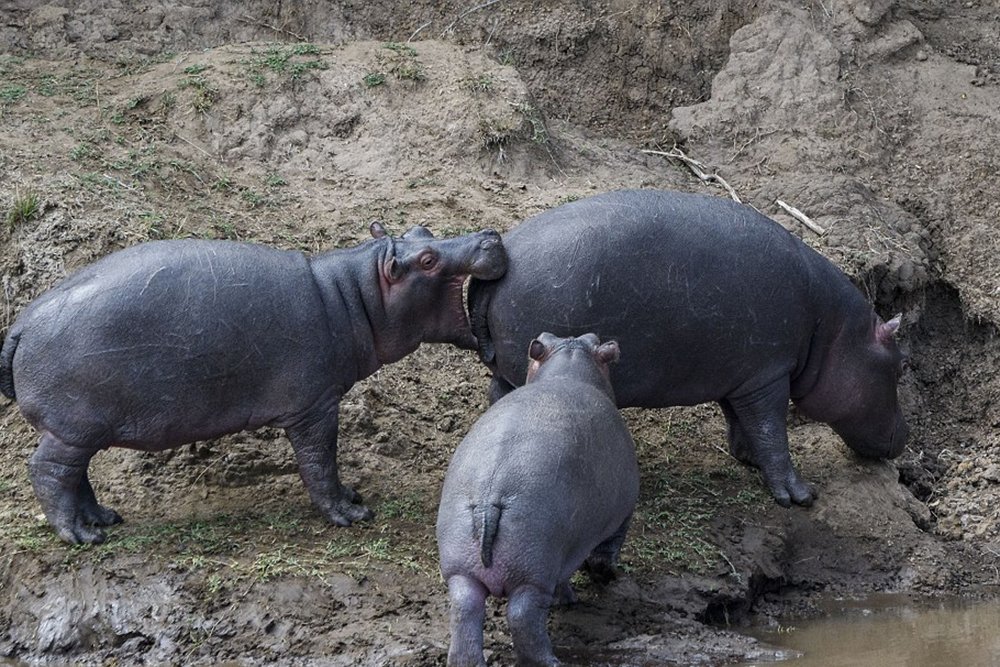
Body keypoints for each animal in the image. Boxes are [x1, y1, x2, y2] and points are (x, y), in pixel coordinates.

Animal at [0, 223, 507, 544]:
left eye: (423, 230)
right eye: (427, 258)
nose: (489, 234)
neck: (355, 295)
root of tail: (21, 323)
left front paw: (352, 497)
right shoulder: (315, 405)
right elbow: (320, 461)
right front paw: (350, 513)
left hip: (79, 430)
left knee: (75, 474)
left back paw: (103, 519)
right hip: (73, 426)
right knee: (47, 470)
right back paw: (81, 536)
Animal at [437, 332, 639, 667]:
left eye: (590, 338)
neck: (569, 366)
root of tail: (490, 497)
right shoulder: (621, 513)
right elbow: (606, 550)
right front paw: (591, 584)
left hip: (461, 571)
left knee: (465, 612)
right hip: (534, 572)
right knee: (523, 618)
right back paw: (551, 661)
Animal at [469, 189, 909, 507]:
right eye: (900, 365)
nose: (905, 436)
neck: (832, 329)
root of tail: (503, 260)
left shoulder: (740, 375)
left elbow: (741, 421)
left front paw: (747, 458)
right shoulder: (768, 375)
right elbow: (772, 431)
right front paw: (799, 496)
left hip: (511, 367)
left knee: (497, 392)